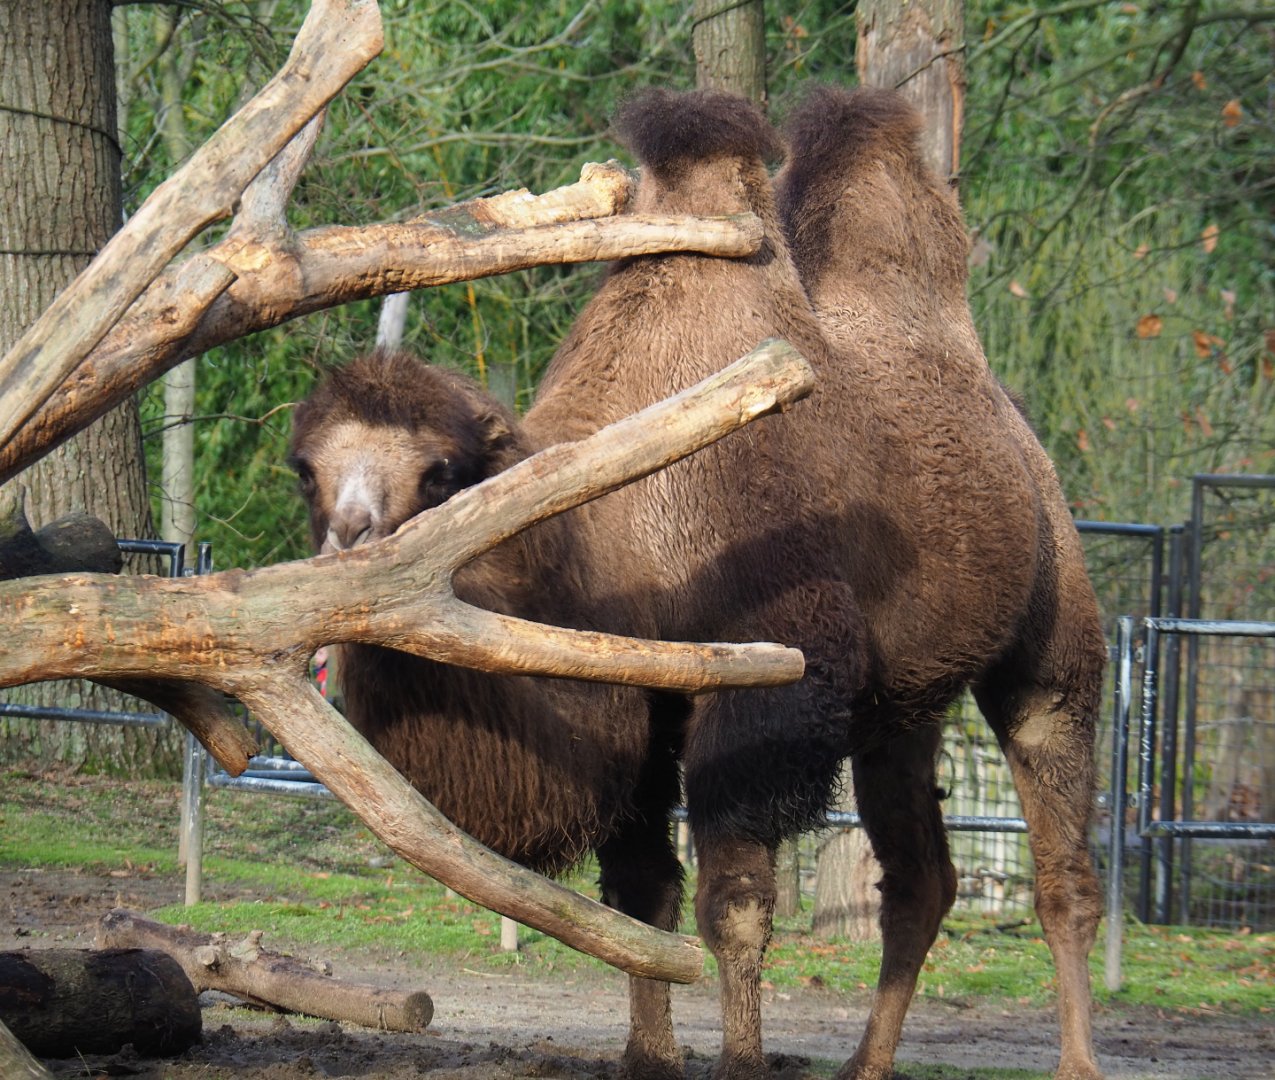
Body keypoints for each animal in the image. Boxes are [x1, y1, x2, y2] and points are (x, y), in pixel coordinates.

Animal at [288, 87, 1106, 1080]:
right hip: (902, 705)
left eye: (441, 471)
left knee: (1060, 855)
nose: (350, 539)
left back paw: (1075, 1058)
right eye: (305, 470)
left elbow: (734, 902)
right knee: (920, 880)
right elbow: (639, 893)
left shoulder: (772, 684)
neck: (621, 530)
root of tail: (1015, 431)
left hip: (1051, 629)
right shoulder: (633, 699)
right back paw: (865, 1062)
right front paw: (649, 1056)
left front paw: (741, 1059)